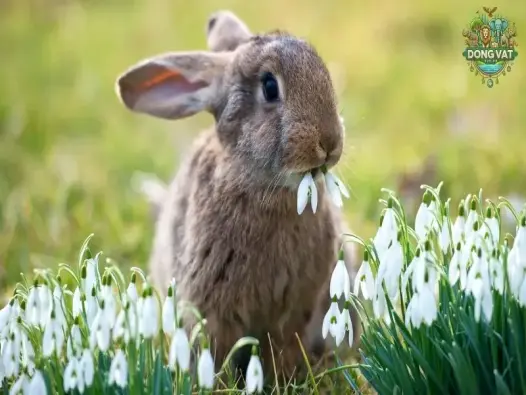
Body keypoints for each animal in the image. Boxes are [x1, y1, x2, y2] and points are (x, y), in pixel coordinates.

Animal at [116, 10, 360, 384]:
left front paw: (282, 381)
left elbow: (281, 347)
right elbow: (215, 350)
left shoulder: (298, 307)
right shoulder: (210, 307)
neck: (261, 186)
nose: (330, 143)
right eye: (270, 87)